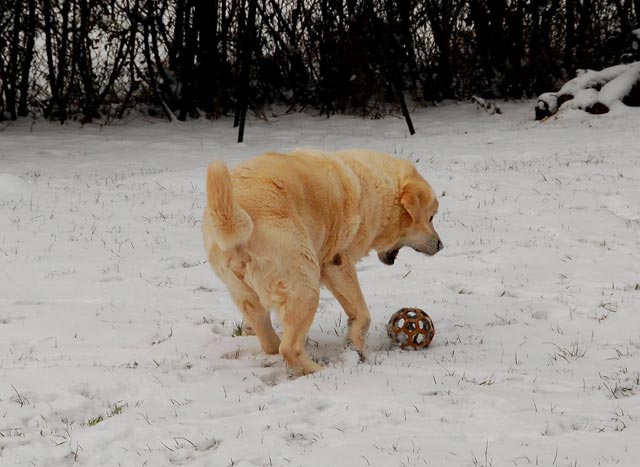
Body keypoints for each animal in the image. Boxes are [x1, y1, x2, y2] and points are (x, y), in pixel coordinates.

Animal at [202, 149, 442, 374]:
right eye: (431, 217)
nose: (441, 245)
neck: (376, 191)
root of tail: (237, 216)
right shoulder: (338, 263)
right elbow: (363, 314)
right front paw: (356, 348)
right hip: (305, 285)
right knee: (288, 349)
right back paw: (317, 370)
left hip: (246, 292)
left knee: (268, 338)